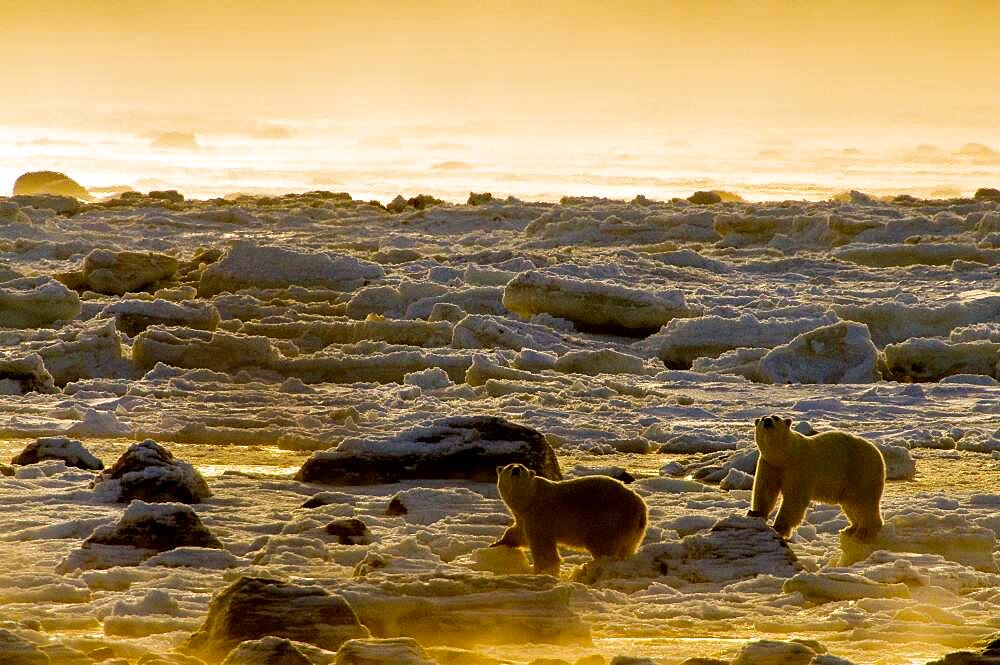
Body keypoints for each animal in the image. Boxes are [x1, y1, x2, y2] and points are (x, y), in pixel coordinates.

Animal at [492, 462, 648, 576]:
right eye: (509, 466)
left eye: (522, 468)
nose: (516, 470)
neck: (529, 499)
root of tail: (641, 508)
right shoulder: (523, 517)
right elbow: (518, 534)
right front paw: (496, 544)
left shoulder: (540, 514)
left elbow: (543, 546)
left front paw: (543, 572)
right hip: (632, 530)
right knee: (627, 548)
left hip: (609, 521)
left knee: (603, 547)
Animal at [748, 416, 888, 540]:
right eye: (762, 418)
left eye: (776, 418)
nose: (767, 421)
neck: (786, 456)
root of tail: (878, 452)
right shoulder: (770, 465)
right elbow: (765, 490)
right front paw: (755, 513)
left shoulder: (799, 467)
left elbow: (794, 498)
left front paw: (779, 527)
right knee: (850, 504)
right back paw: (850, 528)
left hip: (861, 471)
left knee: (862, 502)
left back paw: (865, 531)